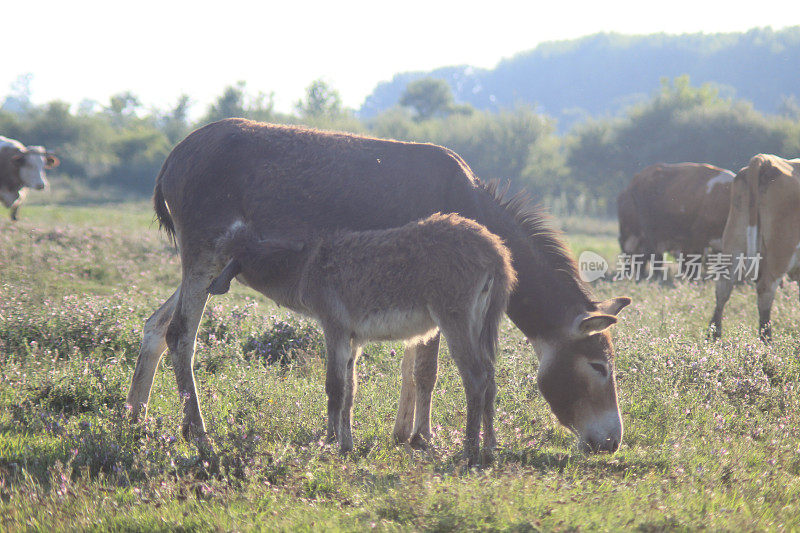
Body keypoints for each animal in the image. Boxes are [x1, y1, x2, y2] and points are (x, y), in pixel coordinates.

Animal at [125, 118, 632, 456]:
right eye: (599, 367)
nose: (611, 442)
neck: (468, 201)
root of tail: (174, 156)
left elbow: (410, 364)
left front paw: (402, 433)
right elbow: (426, 370)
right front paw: (422, 438)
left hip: (211, 269)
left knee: (154, 326)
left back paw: (136, 419)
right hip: (204, 254)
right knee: (181, 335)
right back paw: (199, 435)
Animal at [708, 153, 800, 340]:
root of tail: (767, 159)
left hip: (734, 239)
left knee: (723, 287)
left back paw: (714, 337)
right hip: (781, 250)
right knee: (765, 290)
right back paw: (767, 341)